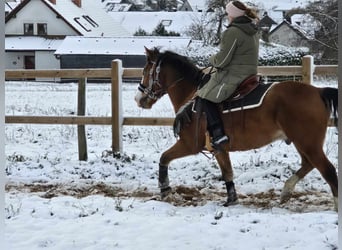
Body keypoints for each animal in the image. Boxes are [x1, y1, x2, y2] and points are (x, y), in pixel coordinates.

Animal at [135, 47, 338, 211]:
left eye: (146, 70)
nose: (139, 99)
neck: (192, 95)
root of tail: (318, 91)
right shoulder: (220, 148)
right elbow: (227, 172)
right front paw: (231, 199)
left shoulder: (188, 144)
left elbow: (164, 157)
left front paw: (165, 188)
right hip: (302, 142)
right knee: (308, 164)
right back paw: (286, 191)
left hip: (308, 143)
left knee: (328, 171)